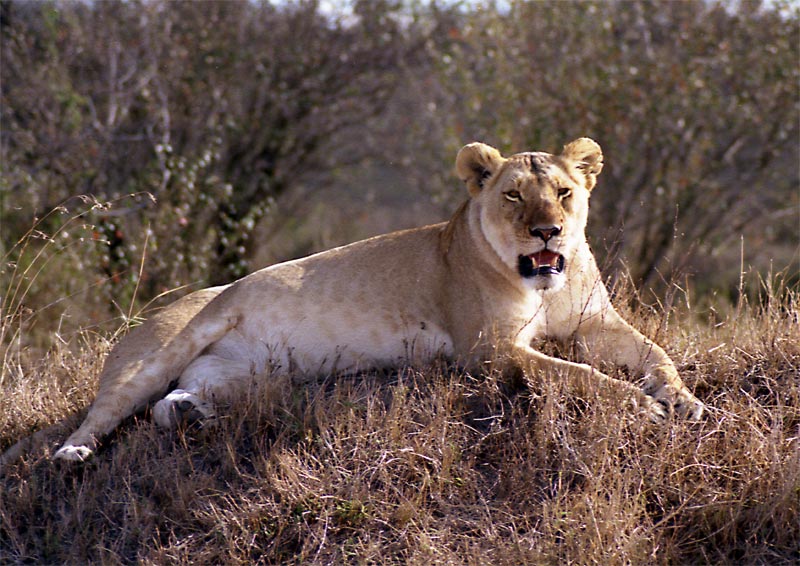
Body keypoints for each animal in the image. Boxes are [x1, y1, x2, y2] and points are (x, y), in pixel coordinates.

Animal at [1, 138, 704, 470]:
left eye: (563, 192)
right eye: (512, 196)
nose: (548, 231)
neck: (540, 281)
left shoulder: (598, 322)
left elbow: (656, 354)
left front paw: (684, 400)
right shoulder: (488, 349)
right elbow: (582, 375)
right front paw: (645, 408)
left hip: (247, 374)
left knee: (168, 406)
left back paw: (194, 416)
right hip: (167, 344)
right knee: (109, 412)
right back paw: (72, 455)